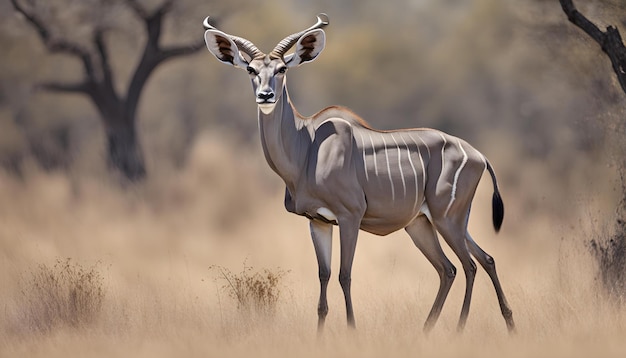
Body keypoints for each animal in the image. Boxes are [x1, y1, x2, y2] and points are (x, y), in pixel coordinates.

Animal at [202, 13, 516, 332]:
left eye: (282, 69)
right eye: (251, 69)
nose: (265, 96)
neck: (308, 147)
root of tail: (479, 156)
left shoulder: (349, 216)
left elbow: (345, 274)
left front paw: (352, 330)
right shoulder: (318, 222)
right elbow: (324, 275)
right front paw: (320, 333)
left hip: (446, 220)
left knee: (468, 265)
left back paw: (459, 329)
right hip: (427, 224)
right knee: (465, 264)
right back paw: (468, 326)